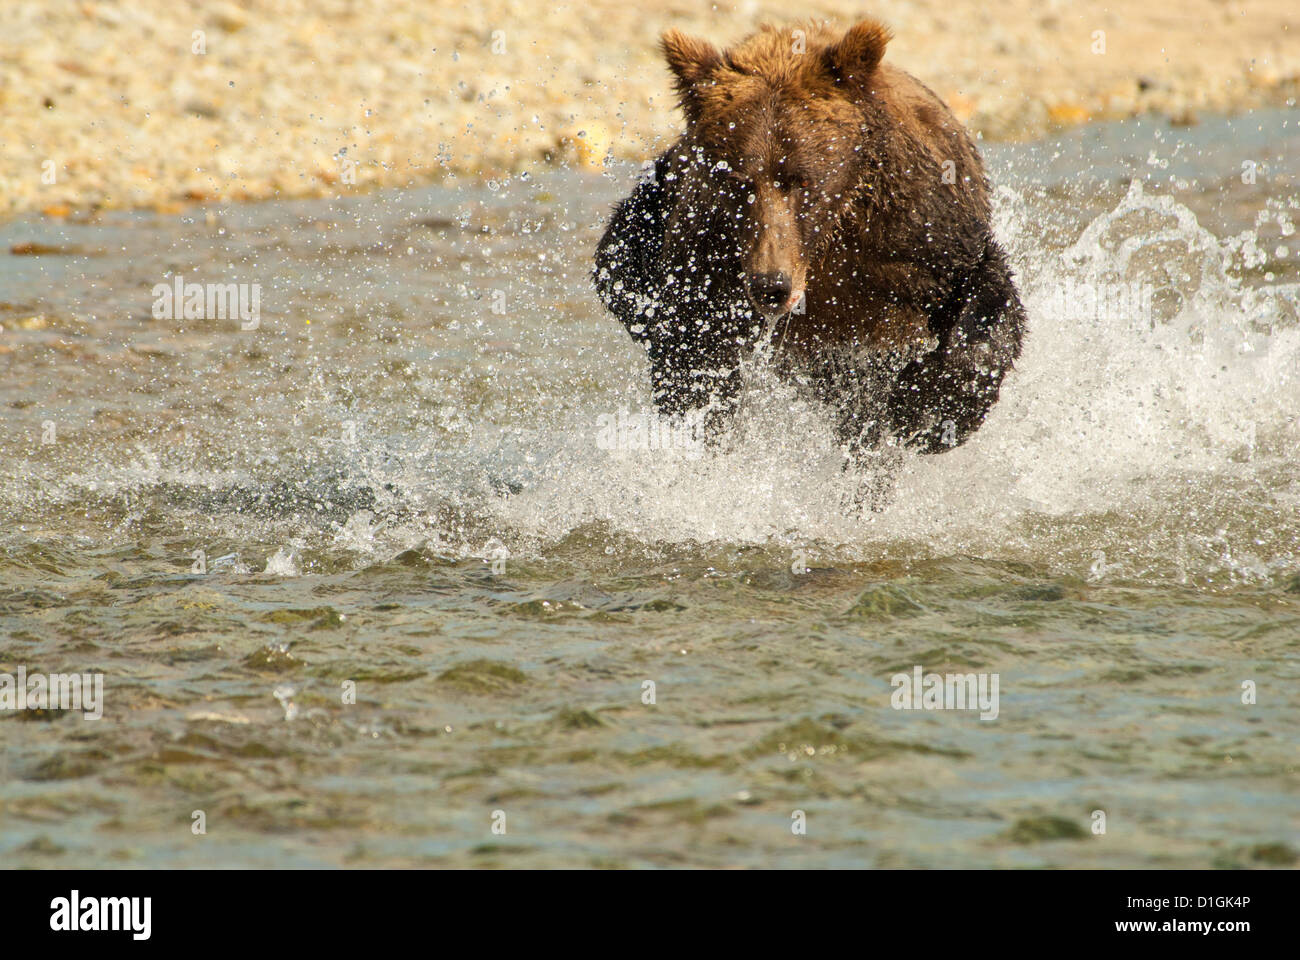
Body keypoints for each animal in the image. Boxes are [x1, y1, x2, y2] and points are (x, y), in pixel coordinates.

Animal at [592, 18, 1024, 460]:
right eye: (739, 183)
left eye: (800, 180)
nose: (771, 285)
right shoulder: (702, 247)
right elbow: (684, 338)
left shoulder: (921, 232)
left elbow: (985, 292)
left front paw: (931, 410)